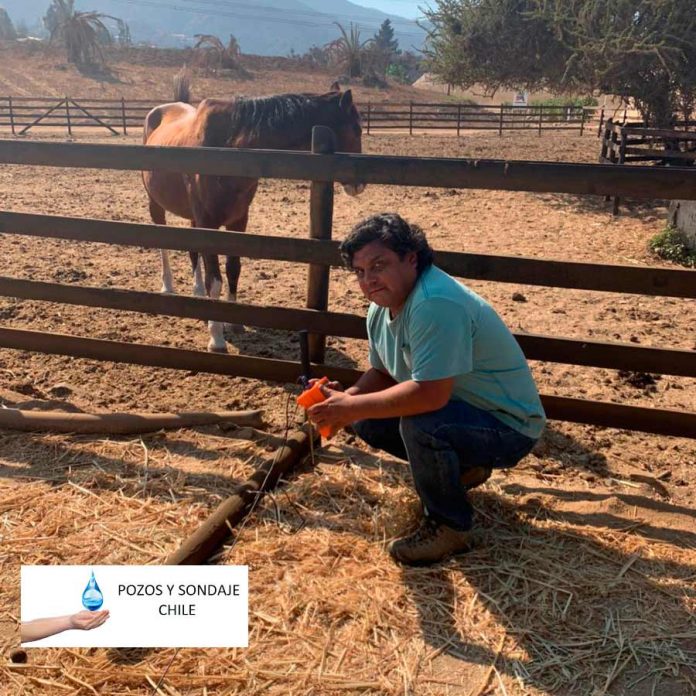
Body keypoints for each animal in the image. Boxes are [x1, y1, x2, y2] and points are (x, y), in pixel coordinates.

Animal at [143, 77, 368, 354]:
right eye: (356, 129)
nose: (359, 184)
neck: (228, 150)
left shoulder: (238, 222)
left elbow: (233, 269)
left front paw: (233, 322)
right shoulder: (208, 225)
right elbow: (214, 279)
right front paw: (216, 338)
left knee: (193, 253)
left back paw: (197, 296)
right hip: (156, 205)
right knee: (162, 242)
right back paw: (168, 286)